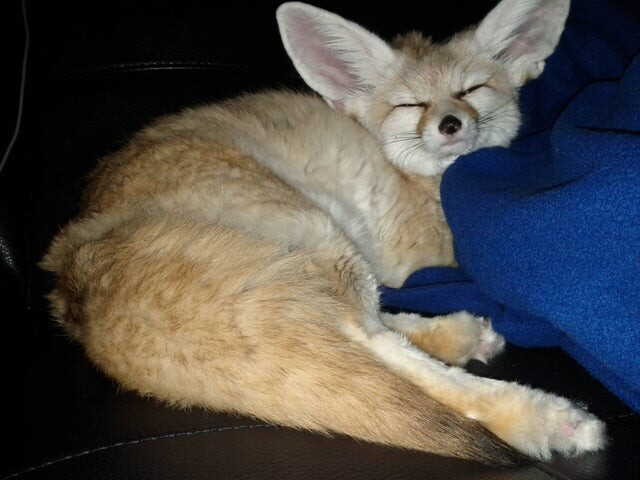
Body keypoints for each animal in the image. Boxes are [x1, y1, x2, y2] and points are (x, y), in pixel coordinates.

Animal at [42, 0, 605, 466]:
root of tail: (76, 270)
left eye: (470, 90)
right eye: (411, 105)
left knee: (354, 333)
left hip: (306, 264)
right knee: (373, 348)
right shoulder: (409, 257)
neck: (418, 181)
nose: (451, 124)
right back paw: (545, 418)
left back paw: (459, 334)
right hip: (325, 238)